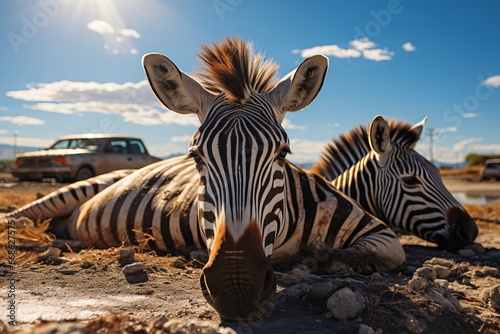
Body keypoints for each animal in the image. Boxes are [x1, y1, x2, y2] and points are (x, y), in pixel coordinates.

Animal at [0, 38, 406, 320]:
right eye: (196, 157)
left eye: (283, 154)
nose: (236, 288)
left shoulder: (378, 231)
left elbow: (386, 252)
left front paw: (321, 257)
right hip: (76, 189)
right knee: (16, 217)